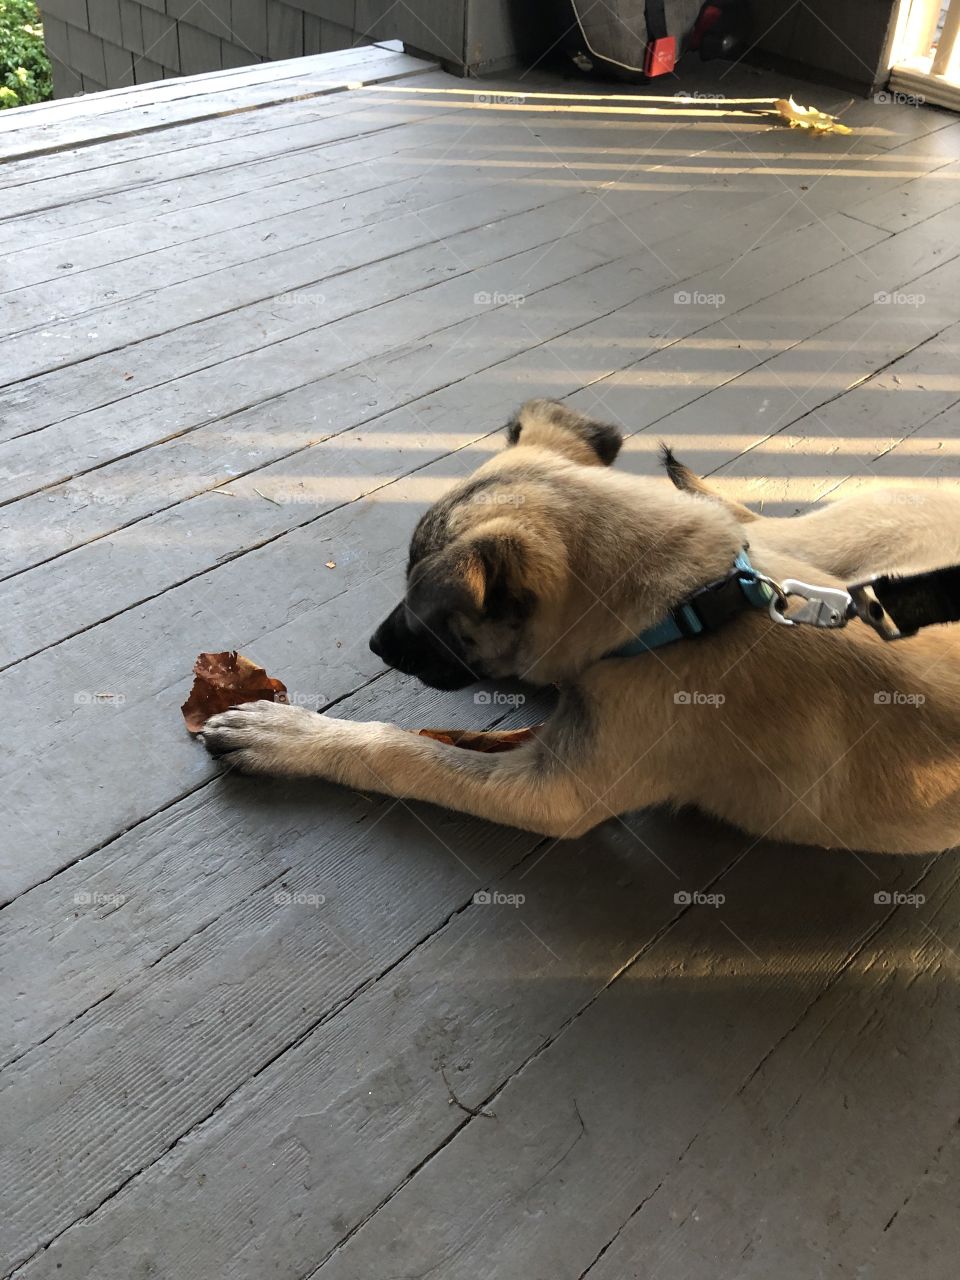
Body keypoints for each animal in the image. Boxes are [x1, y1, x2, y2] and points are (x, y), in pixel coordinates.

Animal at [200, 396, 960, 860]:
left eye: (429, 609)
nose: (376, 646)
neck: (687, 608)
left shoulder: (552, 795)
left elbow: (400, 751)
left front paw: (287, 735)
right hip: (821, 552)